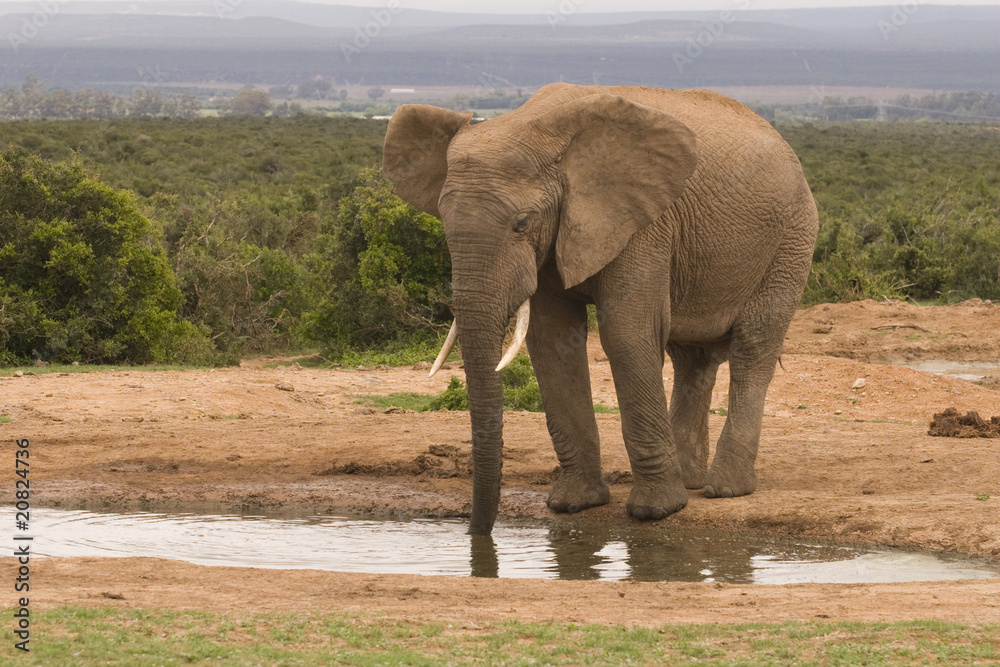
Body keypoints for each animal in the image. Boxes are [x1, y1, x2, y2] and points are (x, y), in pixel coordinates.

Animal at [378, 82, 816, 536]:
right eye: (444, 223)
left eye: (521, 223)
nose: (476, 534)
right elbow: (551, 342)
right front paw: (573, 504)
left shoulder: (642, 222)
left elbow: (626, 334)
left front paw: (656, 511)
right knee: (691, 358)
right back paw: (691, 480)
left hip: (792, 239)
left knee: (753, 347)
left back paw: (725, 490)